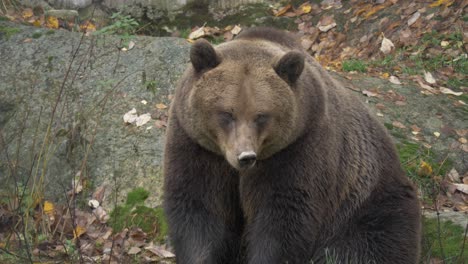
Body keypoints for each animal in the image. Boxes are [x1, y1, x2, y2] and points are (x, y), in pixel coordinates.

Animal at [162, 27, 420, 262]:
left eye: (261, 116)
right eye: (227, 113)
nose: (245, 156)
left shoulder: (298, 147)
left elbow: (284, 218)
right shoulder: (197, 145)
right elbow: (200, 207)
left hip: (365, 203)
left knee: (370, 245)